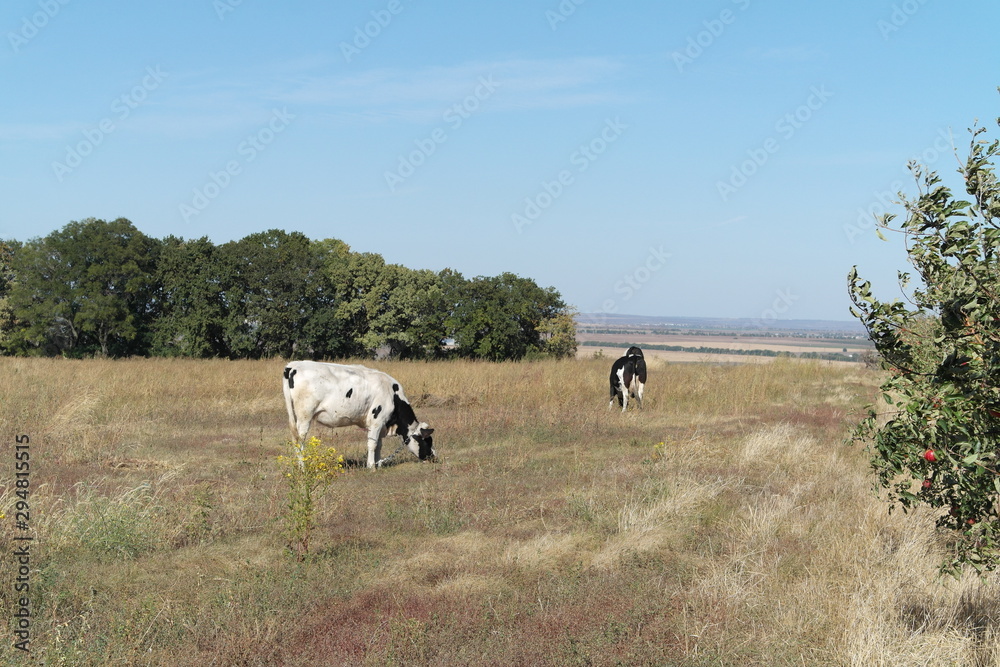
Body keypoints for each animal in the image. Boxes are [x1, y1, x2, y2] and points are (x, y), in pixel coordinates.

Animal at [282, 361, 435, 469]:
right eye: (426, 441)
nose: (434, 457)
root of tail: (293, 365)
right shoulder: (377, 421)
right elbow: (372, 444)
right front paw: (371, 466)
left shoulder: (379, 425)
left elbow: (379, 445)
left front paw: (378, 463)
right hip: (304, 416)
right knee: (300, 440)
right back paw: (303, 466)